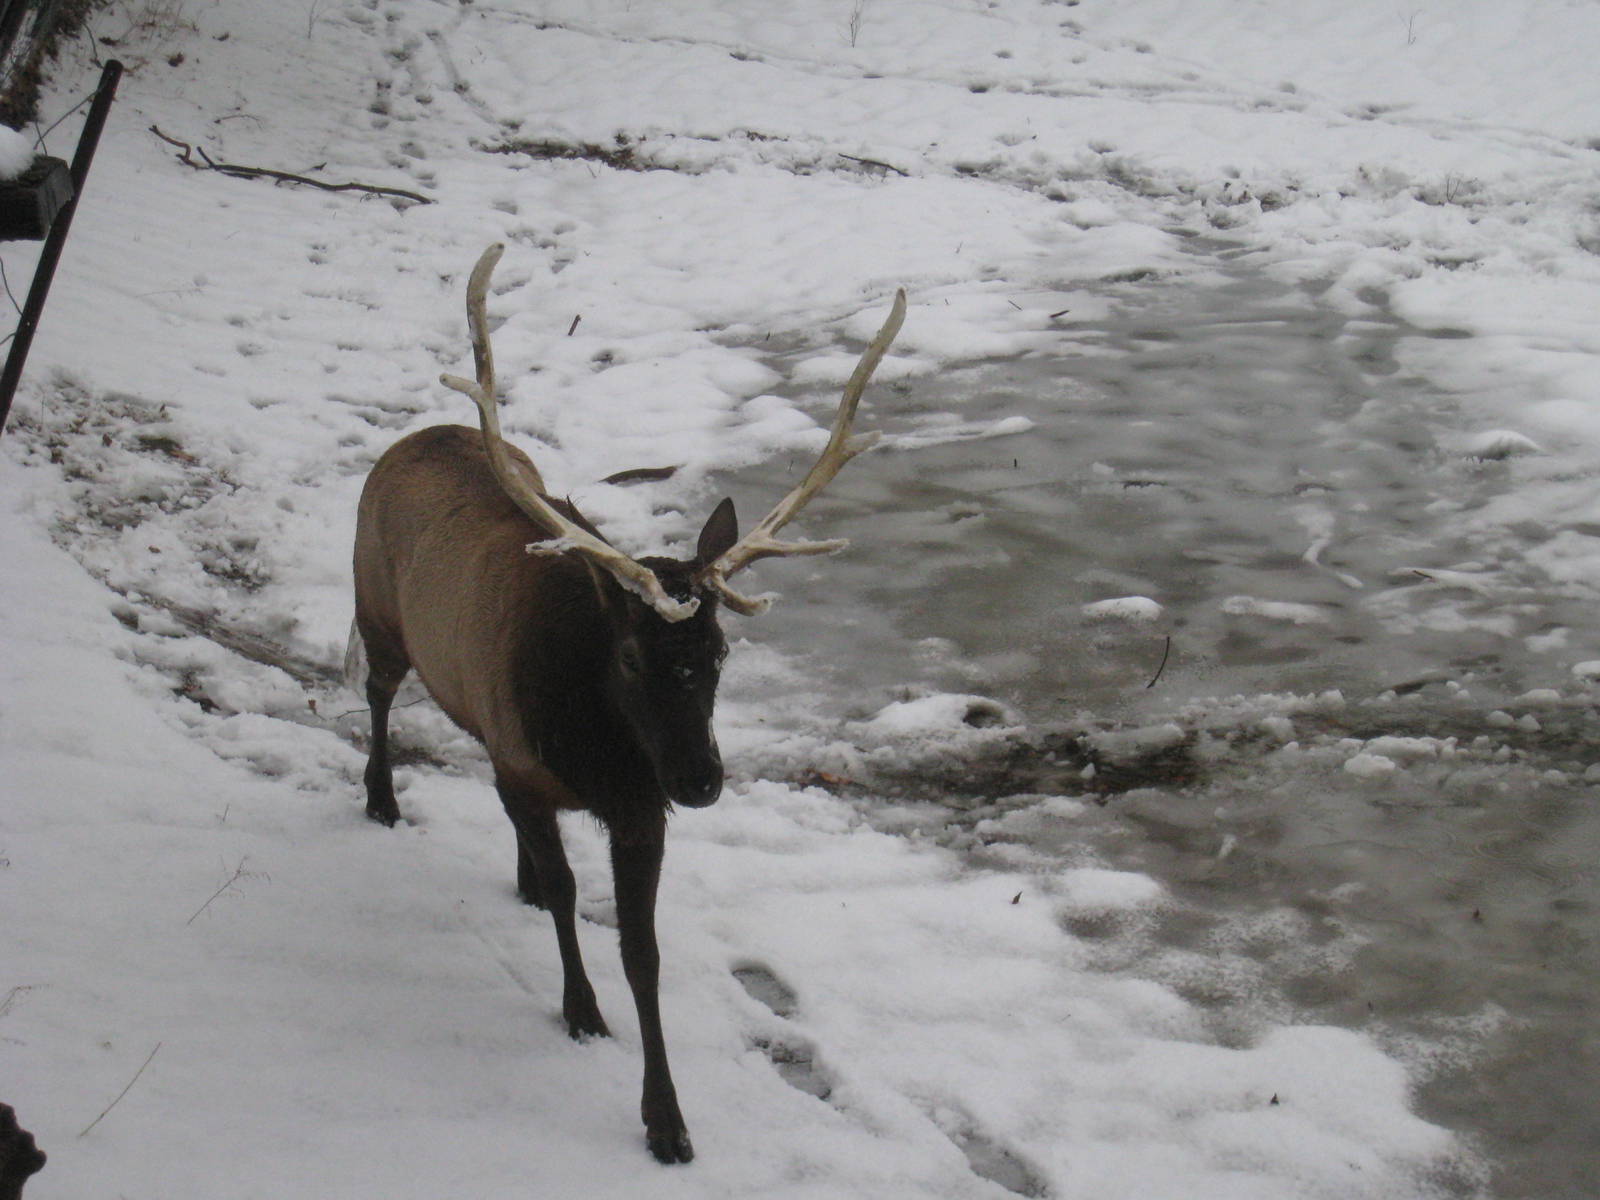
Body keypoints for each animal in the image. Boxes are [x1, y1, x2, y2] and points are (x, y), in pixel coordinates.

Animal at [349, 243, 905, 1164]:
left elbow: (643, 952)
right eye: (635, 655)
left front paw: (668, 1119)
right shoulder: (528, 765)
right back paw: (382, 799)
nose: (702, 779)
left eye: (720, 654)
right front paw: (581, 1011)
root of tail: (410, 439)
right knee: (376, 693)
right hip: (378, 611)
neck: (598, 757)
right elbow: (572, 895)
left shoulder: (640, 809)